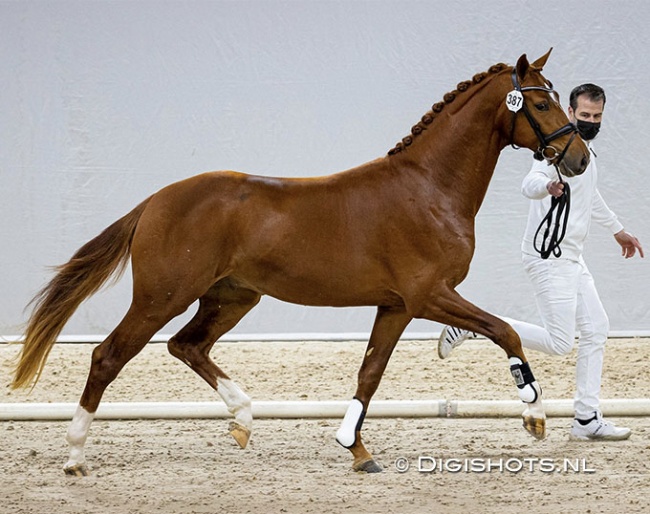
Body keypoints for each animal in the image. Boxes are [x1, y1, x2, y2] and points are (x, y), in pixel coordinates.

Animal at [10, 49, 588, 472]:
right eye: (540, 105)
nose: (579, 158)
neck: (429, 188)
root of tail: (155, 201)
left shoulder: (397, 306)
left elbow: (370, 373)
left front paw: (356, 450)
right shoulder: (430, 295)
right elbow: (502, 331)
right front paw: (534, 415)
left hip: (231, 297)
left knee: (186, 345)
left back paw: (243, 419)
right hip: (161, 297)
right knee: (108, 356)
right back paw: (75, 456)